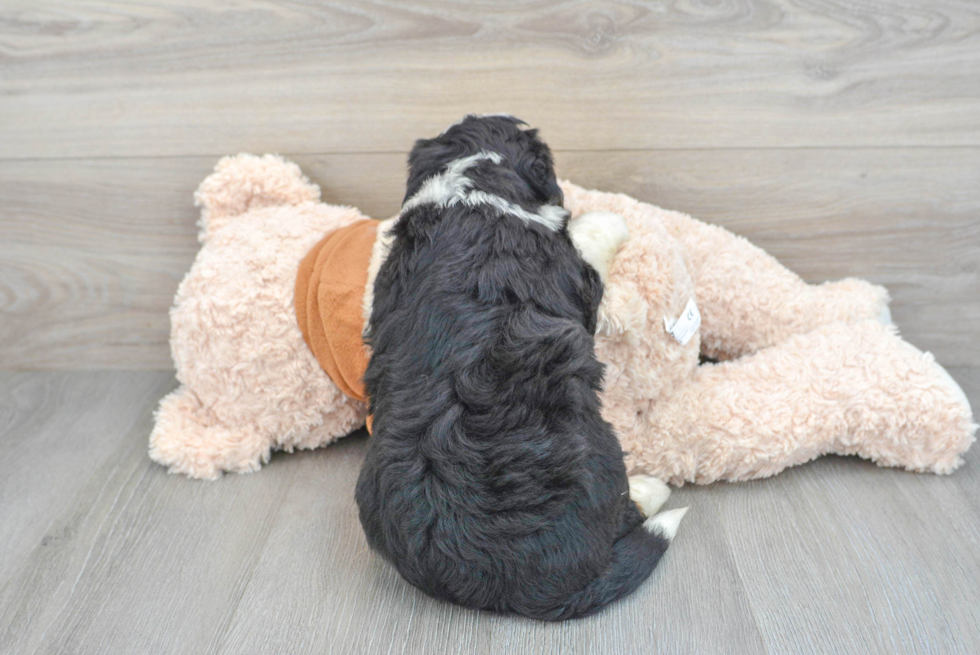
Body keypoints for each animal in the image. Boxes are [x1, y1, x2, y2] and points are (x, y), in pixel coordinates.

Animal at [356, 114, 684, 620]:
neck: (471, 186)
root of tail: (514, 586)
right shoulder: (575, 272)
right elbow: (590, 239)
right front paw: (605, 217)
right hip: (598, 450)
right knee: (625, 510)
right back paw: (653, 486)